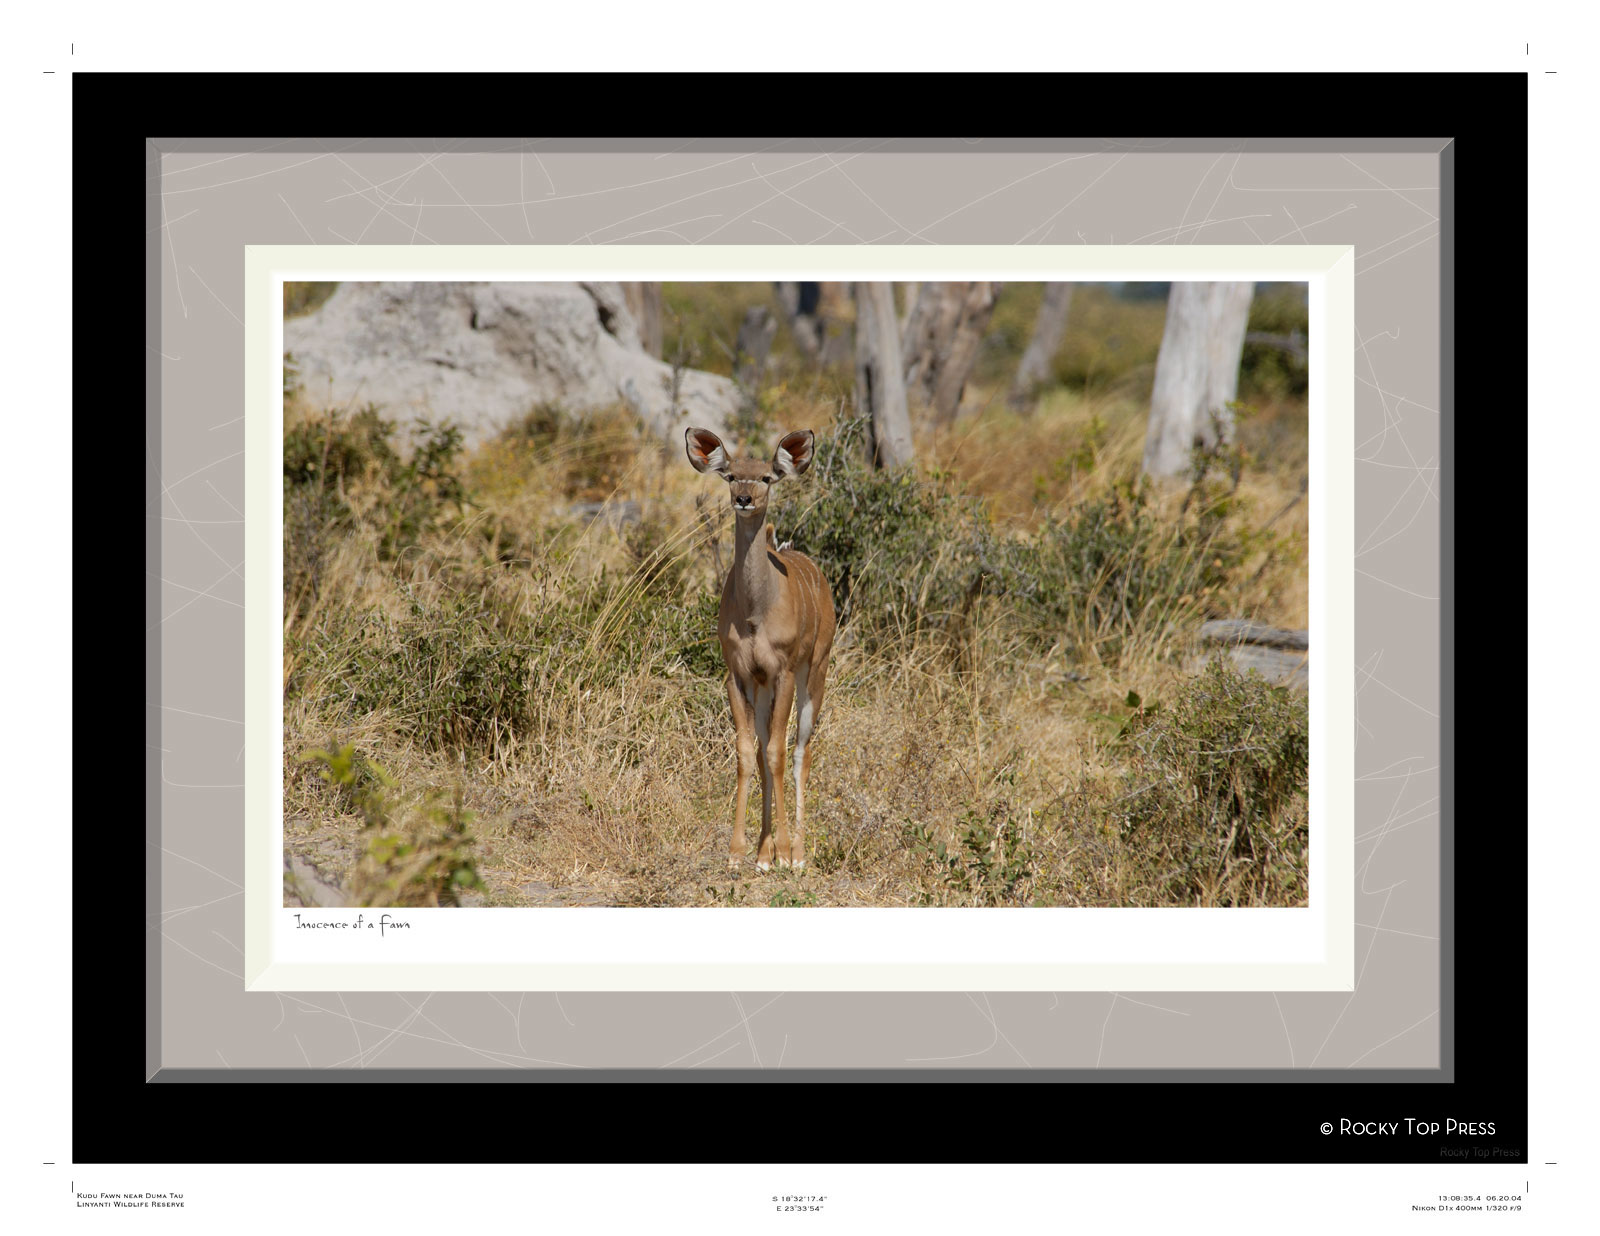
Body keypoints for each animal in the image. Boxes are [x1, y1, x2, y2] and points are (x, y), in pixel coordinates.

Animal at [685, 426, 837, 872]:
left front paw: (785, 853)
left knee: (801, 750)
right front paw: (740, 853)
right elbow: (746, 753)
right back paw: (763, 852)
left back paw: (797, 852)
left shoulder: (784, 669)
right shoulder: (738, 674)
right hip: (764, 686)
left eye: (767, 477)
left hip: (815, 670)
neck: (755, 612)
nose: (744, 499)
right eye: (732, 476)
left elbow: (777, 753)